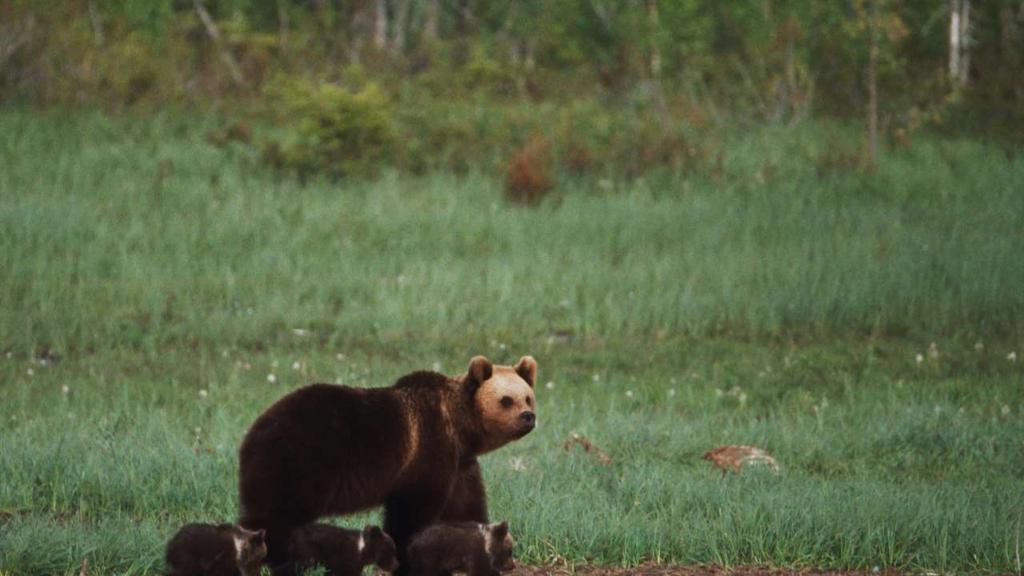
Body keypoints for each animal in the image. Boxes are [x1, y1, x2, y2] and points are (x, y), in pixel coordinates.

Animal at [237, 352, 536, 569]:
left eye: (528, 397)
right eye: (506, 400)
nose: (528, 417)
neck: (460, 428)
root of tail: (253, 433)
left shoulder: (461, 464)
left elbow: (466, 504)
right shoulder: (428, 449)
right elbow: (412, 509)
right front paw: (407, 555)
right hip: (302, 460)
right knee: (280, 515)